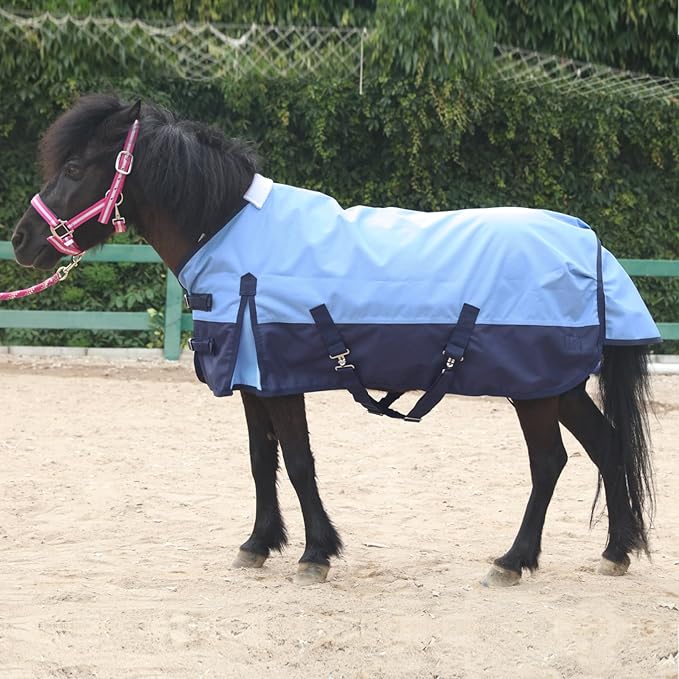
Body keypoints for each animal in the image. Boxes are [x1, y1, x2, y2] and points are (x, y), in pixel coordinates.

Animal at [11, 94, 658, 586]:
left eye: (75, 168)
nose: (21, 240)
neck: (230, 233)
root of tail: (587, 241)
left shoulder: (279, 379)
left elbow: (298, 462)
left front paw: (315, 553)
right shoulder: (253, 379)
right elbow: (261, 460)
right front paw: (258, 544)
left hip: (535, 389)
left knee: (550, 462)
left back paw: (514, 561)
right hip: (559, 384)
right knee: (607, 445)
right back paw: (616, 552)